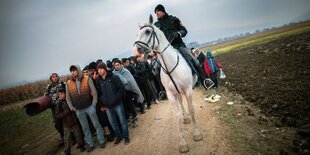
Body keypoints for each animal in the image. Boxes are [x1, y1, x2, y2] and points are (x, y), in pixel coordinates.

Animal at [133, 15, 203, 153]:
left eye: (147, 31)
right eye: (137, 34)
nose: (136, 51)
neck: (170, 65)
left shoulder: (188, 90)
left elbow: (192, 110)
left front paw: (197, 134)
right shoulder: (170, 94)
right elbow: (176, 116)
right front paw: (183, 144)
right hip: (176, 92)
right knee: (180, 102)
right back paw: (185, 118)